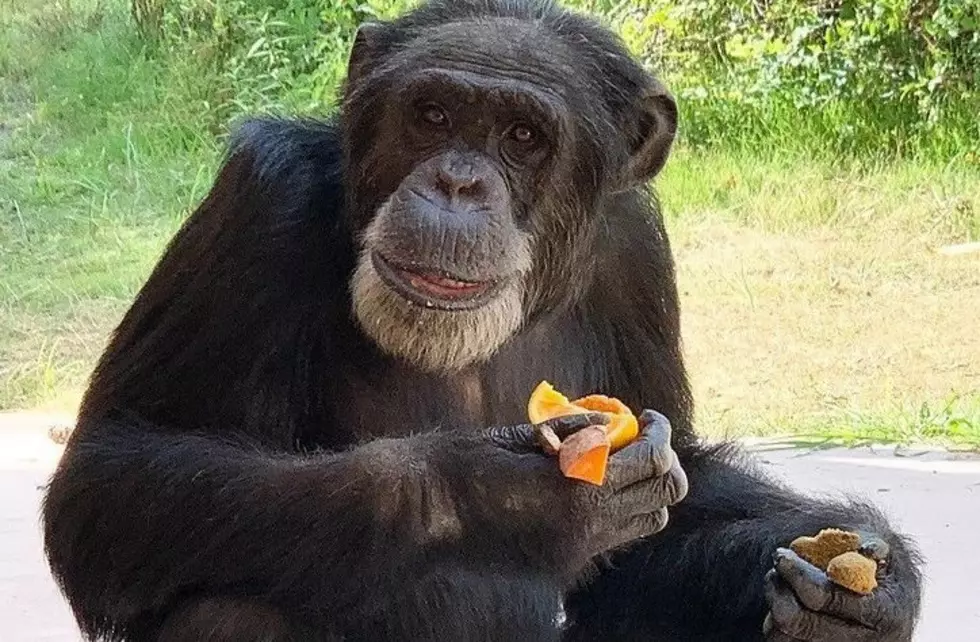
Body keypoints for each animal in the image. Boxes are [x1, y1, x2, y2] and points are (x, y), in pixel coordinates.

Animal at [42, 0, 924, 636]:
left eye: (522, 136)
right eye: (432, 115)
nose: (459, 182)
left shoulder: (636, 250)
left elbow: (671, 494)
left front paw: (865, 586)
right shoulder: (260, 201)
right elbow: (113, 471)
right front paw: (507, 503)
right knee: (233, 608)